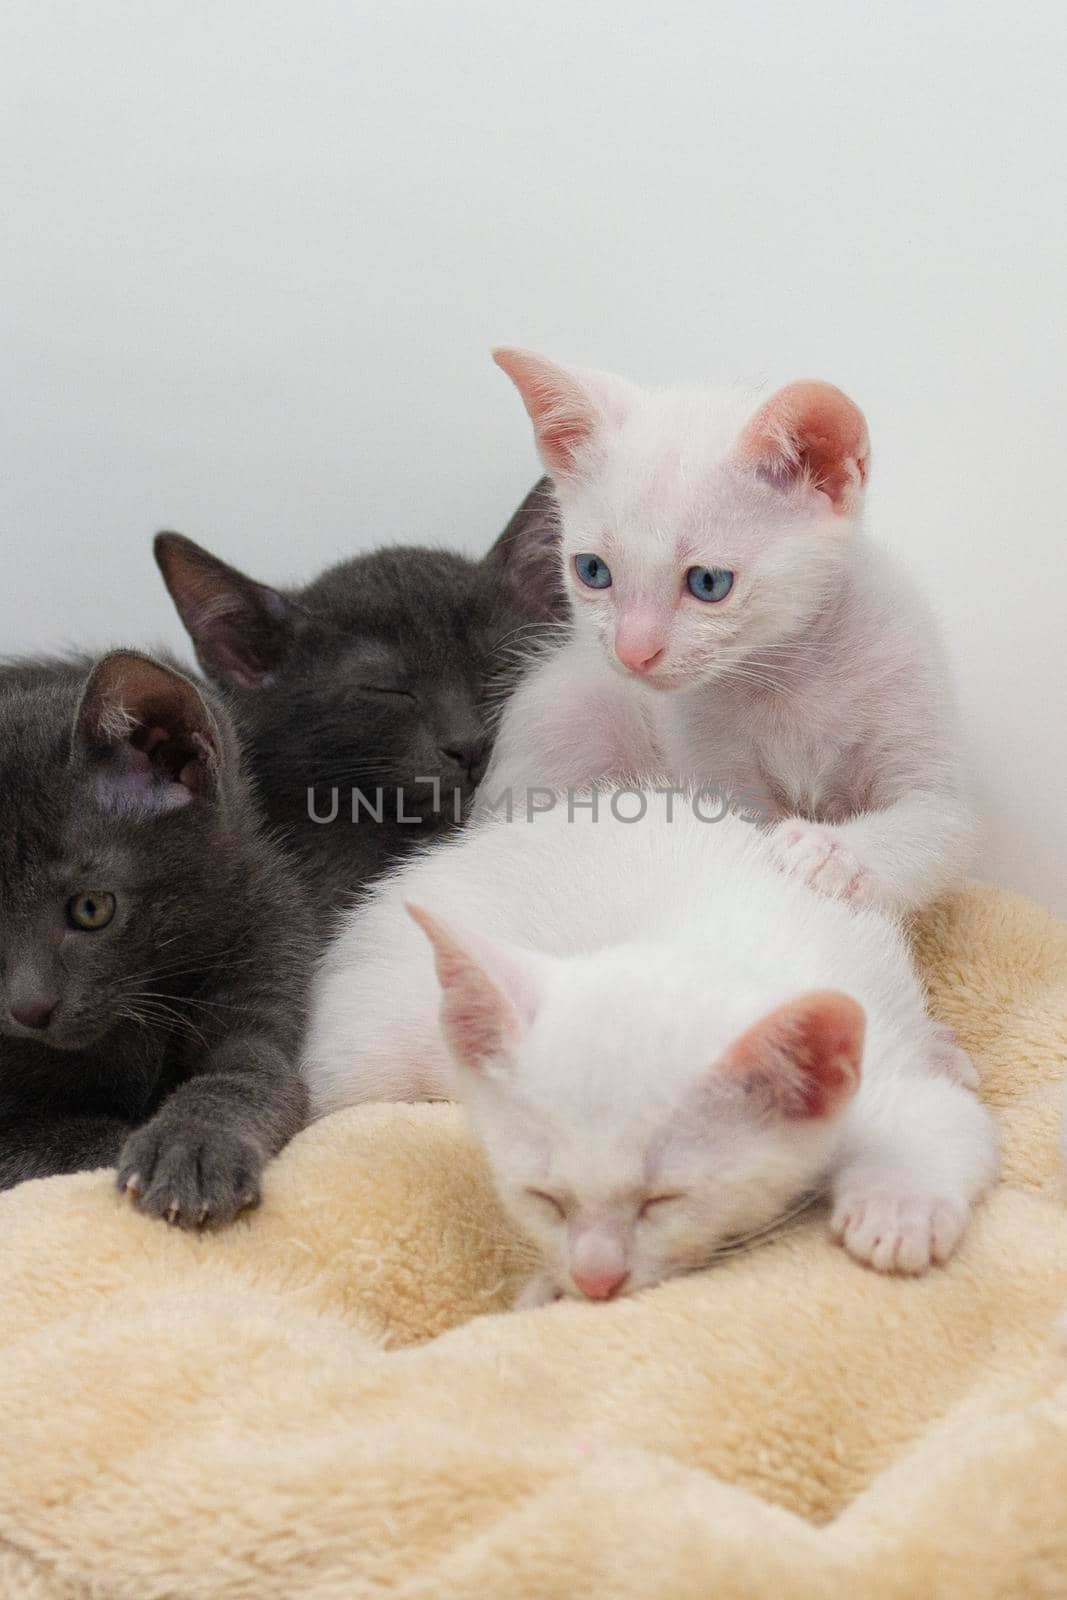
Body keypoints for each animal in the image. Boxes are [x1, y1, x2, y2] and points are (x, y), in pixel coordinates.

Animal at [0, 643, 315, 1216]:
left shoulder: (265, 942)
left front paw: (192, 1145)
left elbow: (246, 1076)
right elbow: (60, 1139)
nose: (29, 1009)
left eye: (91, 908)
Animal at [303, 793, 998, 1305]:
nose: (596, 1280)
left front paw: (897, 1212)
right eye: (545, 1199)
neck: (713, 943)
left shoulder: (869, 1060)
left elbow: (939, 1117)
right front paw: (548, 1291)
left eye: (663, 1201)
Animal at [483, 348, 979, 915]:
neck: (788, 672)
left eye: (708, 582)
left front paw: (825, 852)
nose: (632, 652)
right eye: (593, 571)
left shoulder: (928, 753)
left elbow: (937, 827)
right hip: (567, 707)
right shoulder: (713, 771)